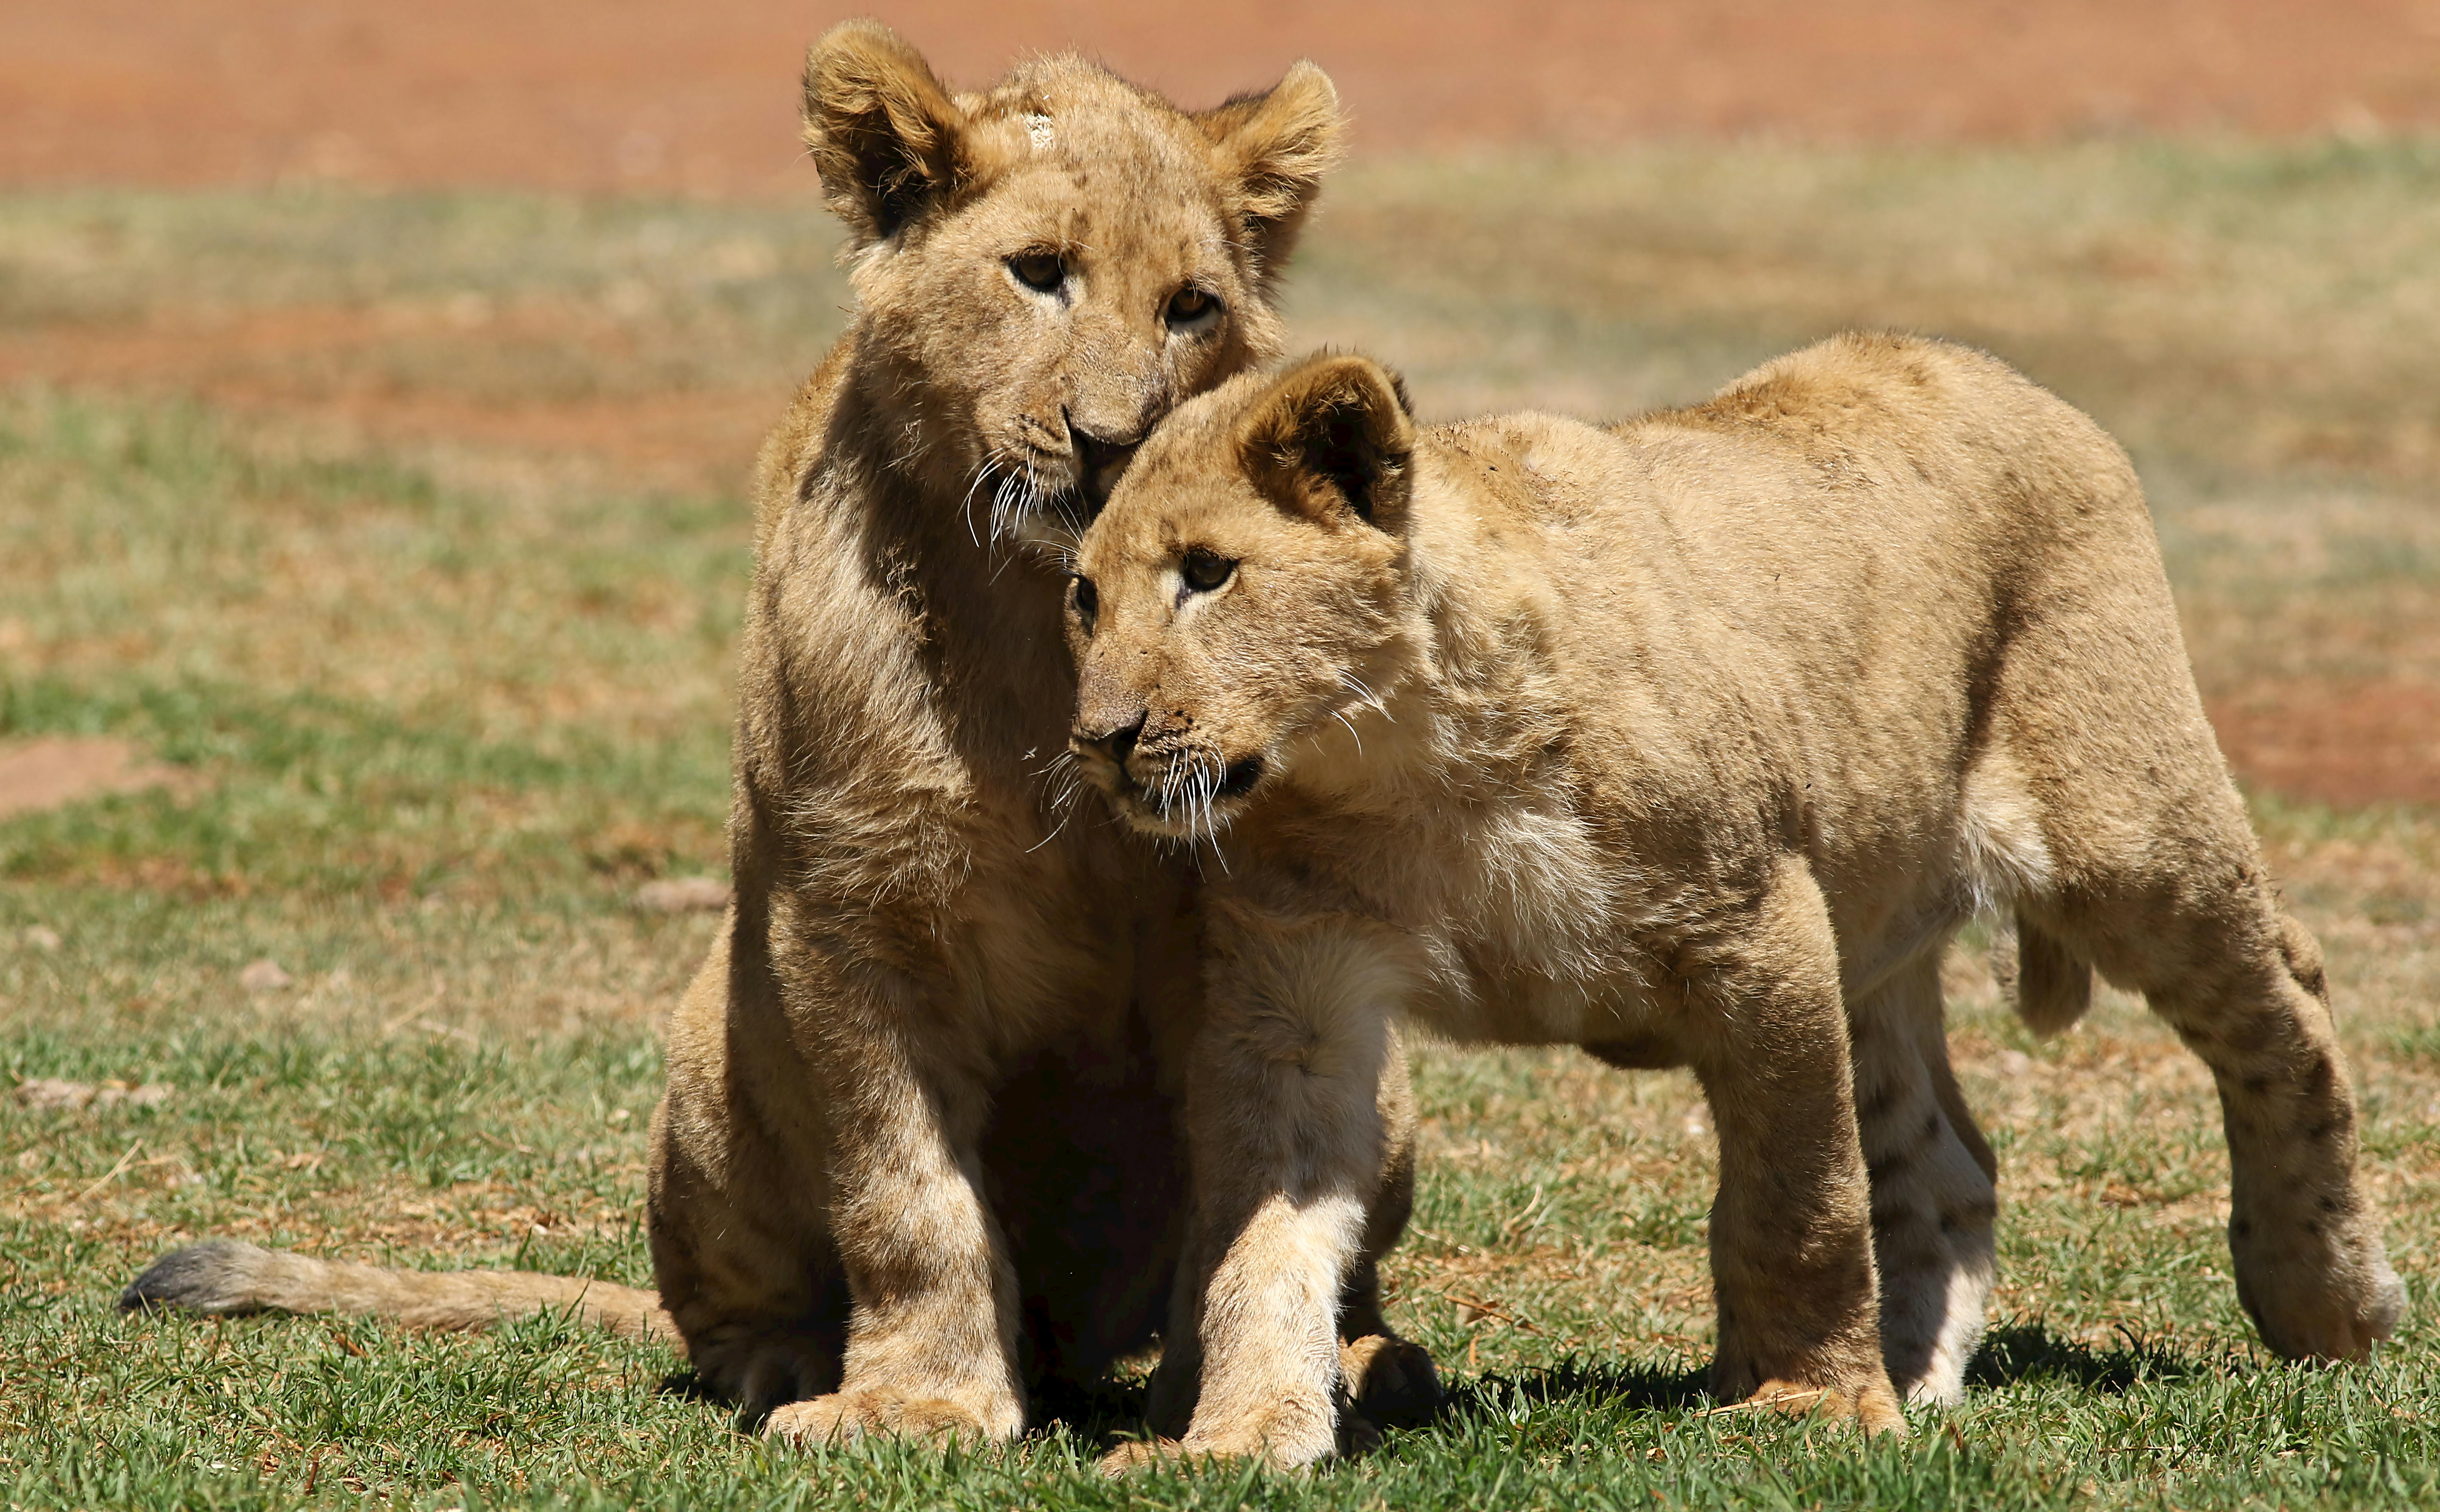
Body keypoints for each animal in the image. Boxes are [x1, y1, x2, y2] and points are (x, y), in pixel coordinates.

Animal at [121, 21, 1438, 1452]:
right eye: (1038, 273)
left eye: (1191, 305)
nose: (1112, 440)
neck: (1042, 621)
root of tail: (1072, 1345)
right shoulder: (844, 909)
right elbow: (905, 1190)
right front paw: (920, 1396)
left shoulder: (1259, 929)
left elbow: (1260, 1201)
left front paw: (1237, 1401)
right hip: (712, 1057)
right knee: (720, 1308)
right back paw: (784, 1364)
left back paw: (1374, 1360)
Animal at [1060, 337, 2404, 1468]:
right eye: (1083, 597)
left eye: (1208, 575)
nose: (1100, 740)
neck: (1407, 770)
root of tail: (1995, 370)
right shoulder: (1297, 998)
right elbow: (1257, 1244)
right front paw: (1233, 1437)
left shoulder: (1756, 928)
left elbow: (1795, 1197)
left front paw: (1809, 1401)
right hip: (1877, 919)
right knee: (1945, 1158)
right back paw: (1917, 1368)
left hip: (2124, 835)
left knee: (2287, 996)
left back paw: (2327, 1296)